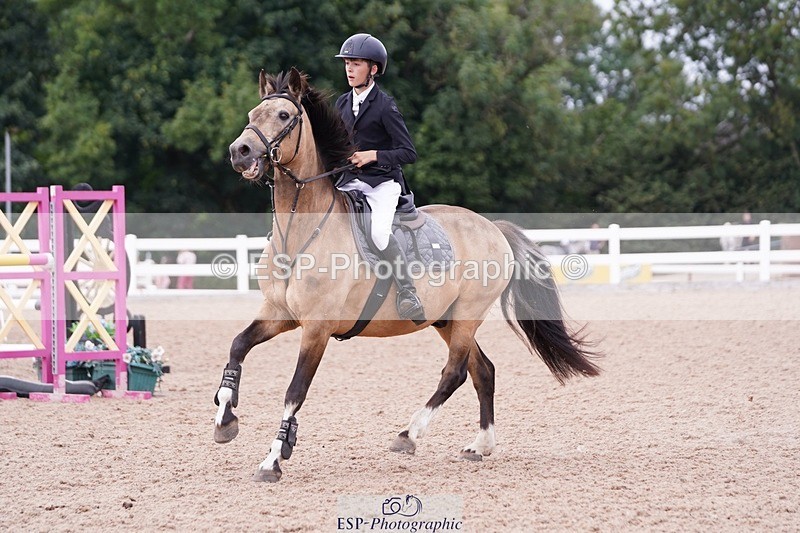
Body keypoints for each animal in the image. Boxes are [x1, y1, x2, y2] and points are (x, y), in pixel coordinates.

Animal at [216, 67, 600, 482]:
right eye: (253, 113)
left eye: (284, 116)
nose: (239, 152)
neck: (298, 235)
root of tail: (492, 227)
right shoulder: (280, 314)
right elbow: (237, 346)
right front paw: (225, 420)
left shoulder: (316, 328)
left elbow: (294, 392)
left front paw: (272, 459)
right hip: (446, 319)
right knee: (483, 371)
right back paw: (479, 446)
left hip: (468, 316)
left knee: (456, 372)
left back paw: (409, 435)